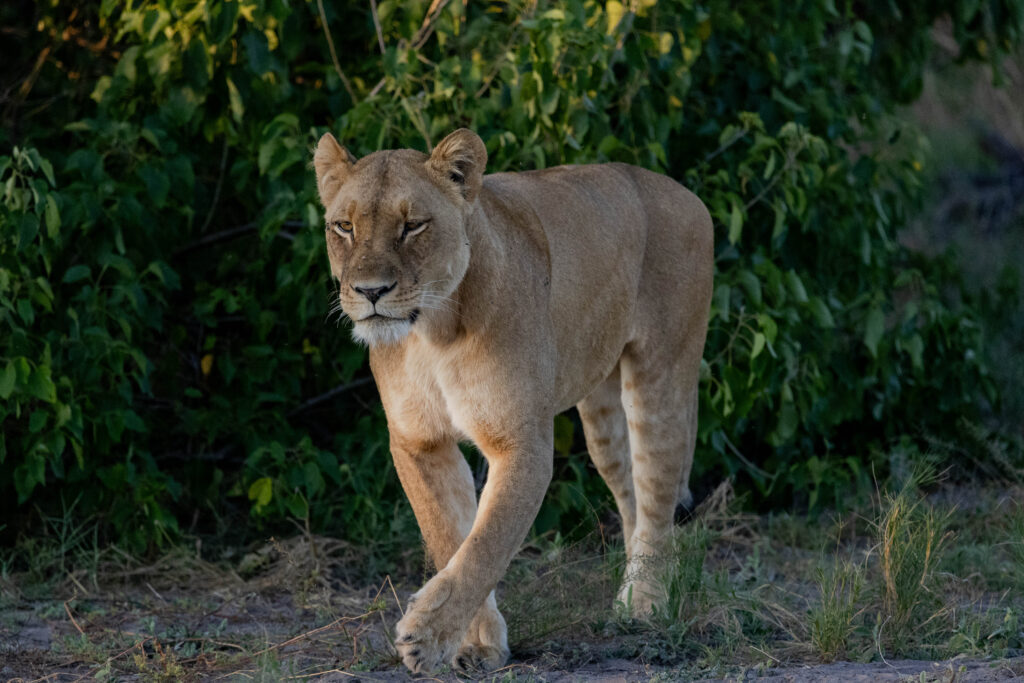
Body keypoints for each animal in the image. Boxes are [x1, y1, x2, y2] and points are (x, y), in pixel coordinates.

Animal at [313, 129, 713, 674]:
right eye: (344, 227)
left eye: (413, 226)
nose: (370, 291)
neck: (434, 333)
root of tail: (687, 194)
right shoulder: (418, 443)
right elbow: (451, 537)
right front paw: (476, 642)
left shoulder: (520, 442)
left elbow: (486, 543)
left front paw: (426, 636)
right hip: (601, 418)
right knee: (631, 495)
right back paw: (631, 595)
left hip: (660, 376)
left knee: (657, 499)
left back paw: (646, 607)